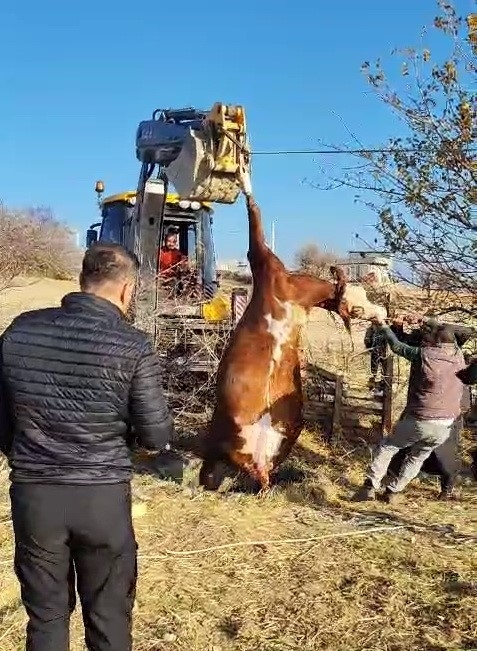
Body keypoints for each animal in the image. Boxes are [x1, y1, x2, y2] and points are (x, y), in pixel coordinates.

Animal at [198, 191, 386, 492]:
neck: (294, 291)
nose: (382, 314)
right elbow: (254, 220)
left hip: (285, 432)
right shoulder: (262, 260)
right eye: (356, 306)